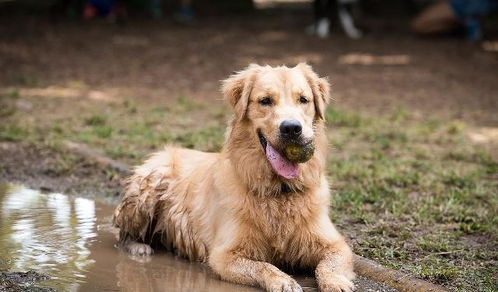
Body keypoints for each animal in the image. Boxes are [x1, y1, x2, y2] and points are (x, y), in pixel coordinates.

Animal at [113, 62, 354, 290]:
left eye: (303, 100)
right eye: (265, 101)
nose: (292, 128)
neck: (279, 189)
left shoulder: (335, 244)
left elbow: (329, 265)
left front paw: (336, 282)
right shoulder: (224, 255)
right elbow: (263, 266)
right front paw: (283, 281)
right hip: (149, 186)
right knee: (122, 234)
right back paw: (139, 247)